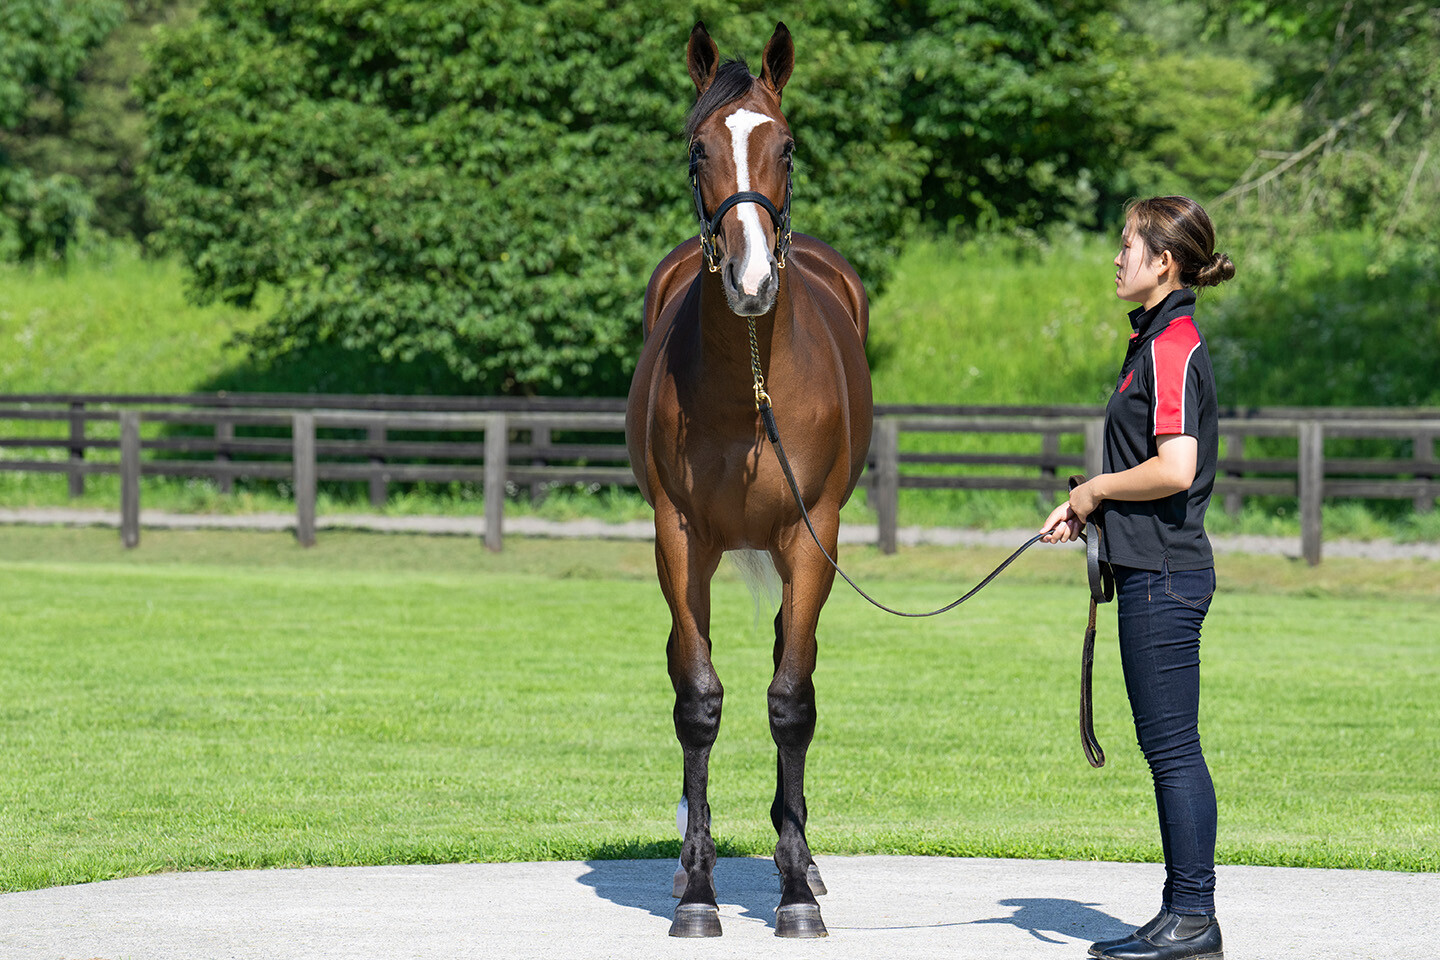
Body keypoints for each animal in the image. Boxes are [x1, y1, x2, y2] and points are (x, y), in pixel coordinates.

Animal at [624, 20, 869, 938]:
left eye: (786, 146)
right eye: (697, 150)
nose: (752, 278)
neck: (750, 378)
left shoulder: (811, 533)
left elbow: (791, 701)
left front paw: (796, 892)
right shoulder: (678, 537)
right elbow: (698, 698)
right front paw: (698, 893)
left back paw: (802, 858)